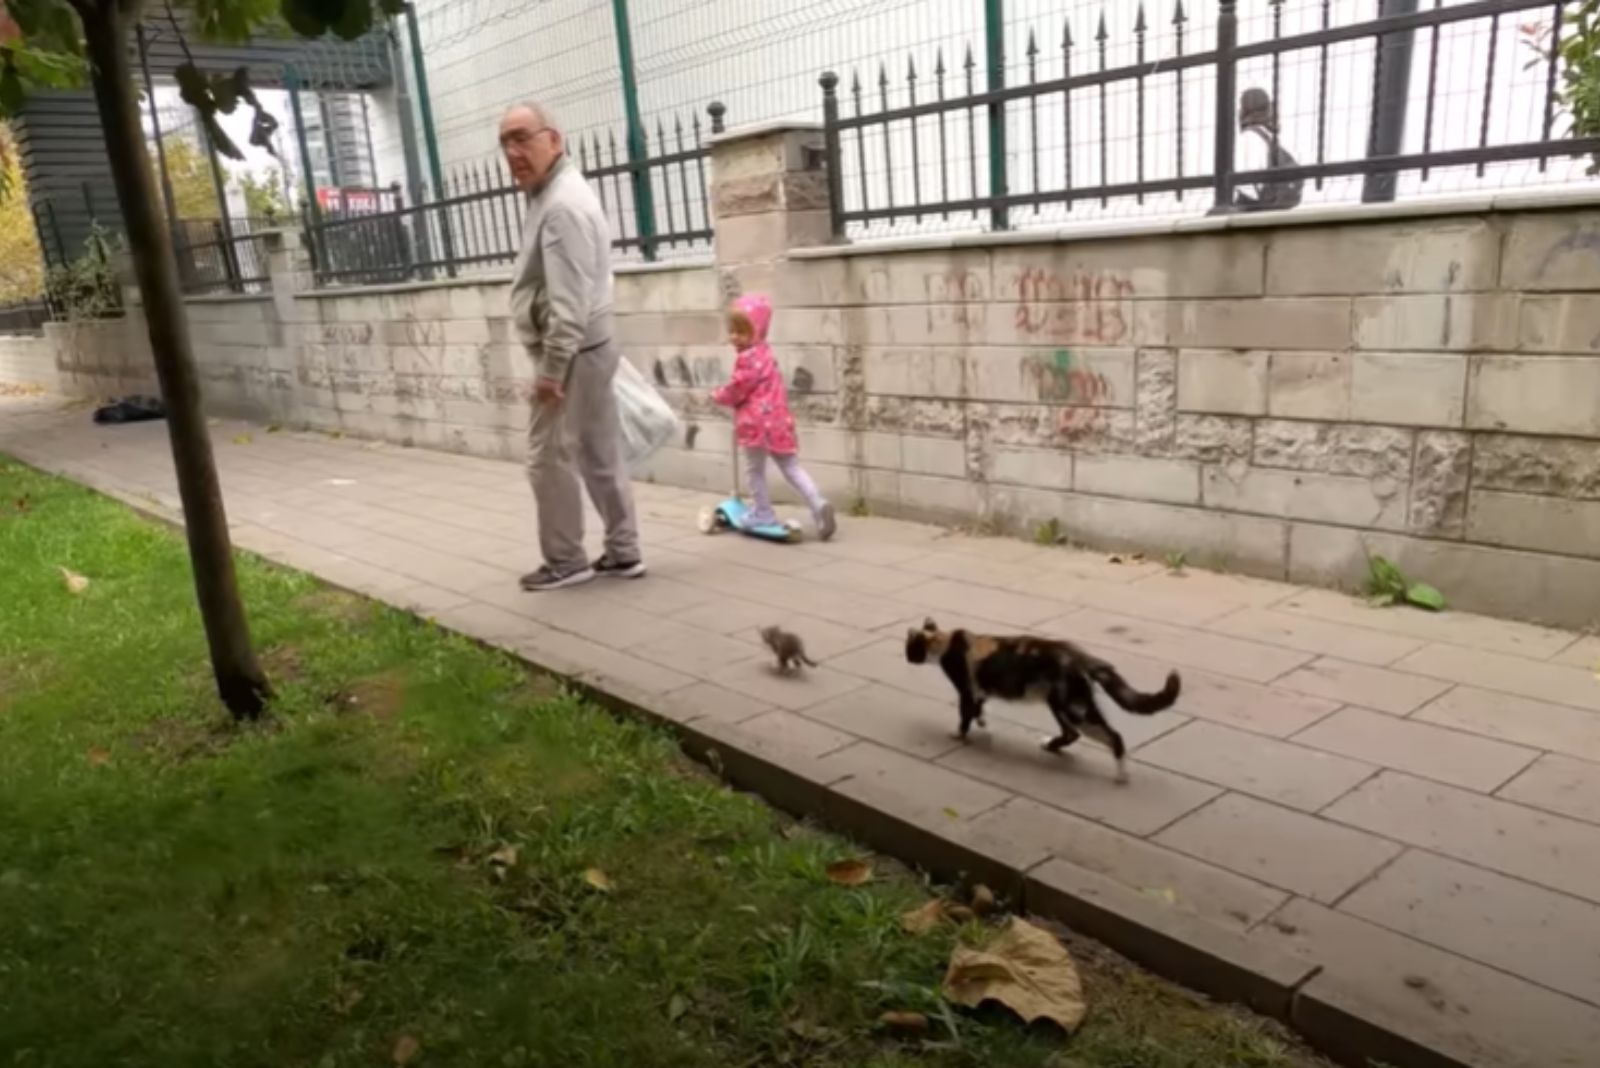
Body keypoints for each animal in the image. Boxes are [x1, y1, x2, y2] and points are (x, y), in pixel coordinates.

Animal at [908, 617, 1184, 783]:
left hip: (1074, 706)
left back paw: (1121, 775)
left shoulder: (965, 686)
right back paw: (1050, 745)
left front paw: (959, 734)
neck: (946, 642)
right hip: (1061, 702)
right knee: (1071, 734)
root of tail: (1080, 657)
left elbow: (965, 712)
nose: (908, 659)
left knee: (1113, 736)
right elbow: (978, 707)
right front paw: (982, 722)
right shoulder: (980, 689)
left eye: (910, 648)